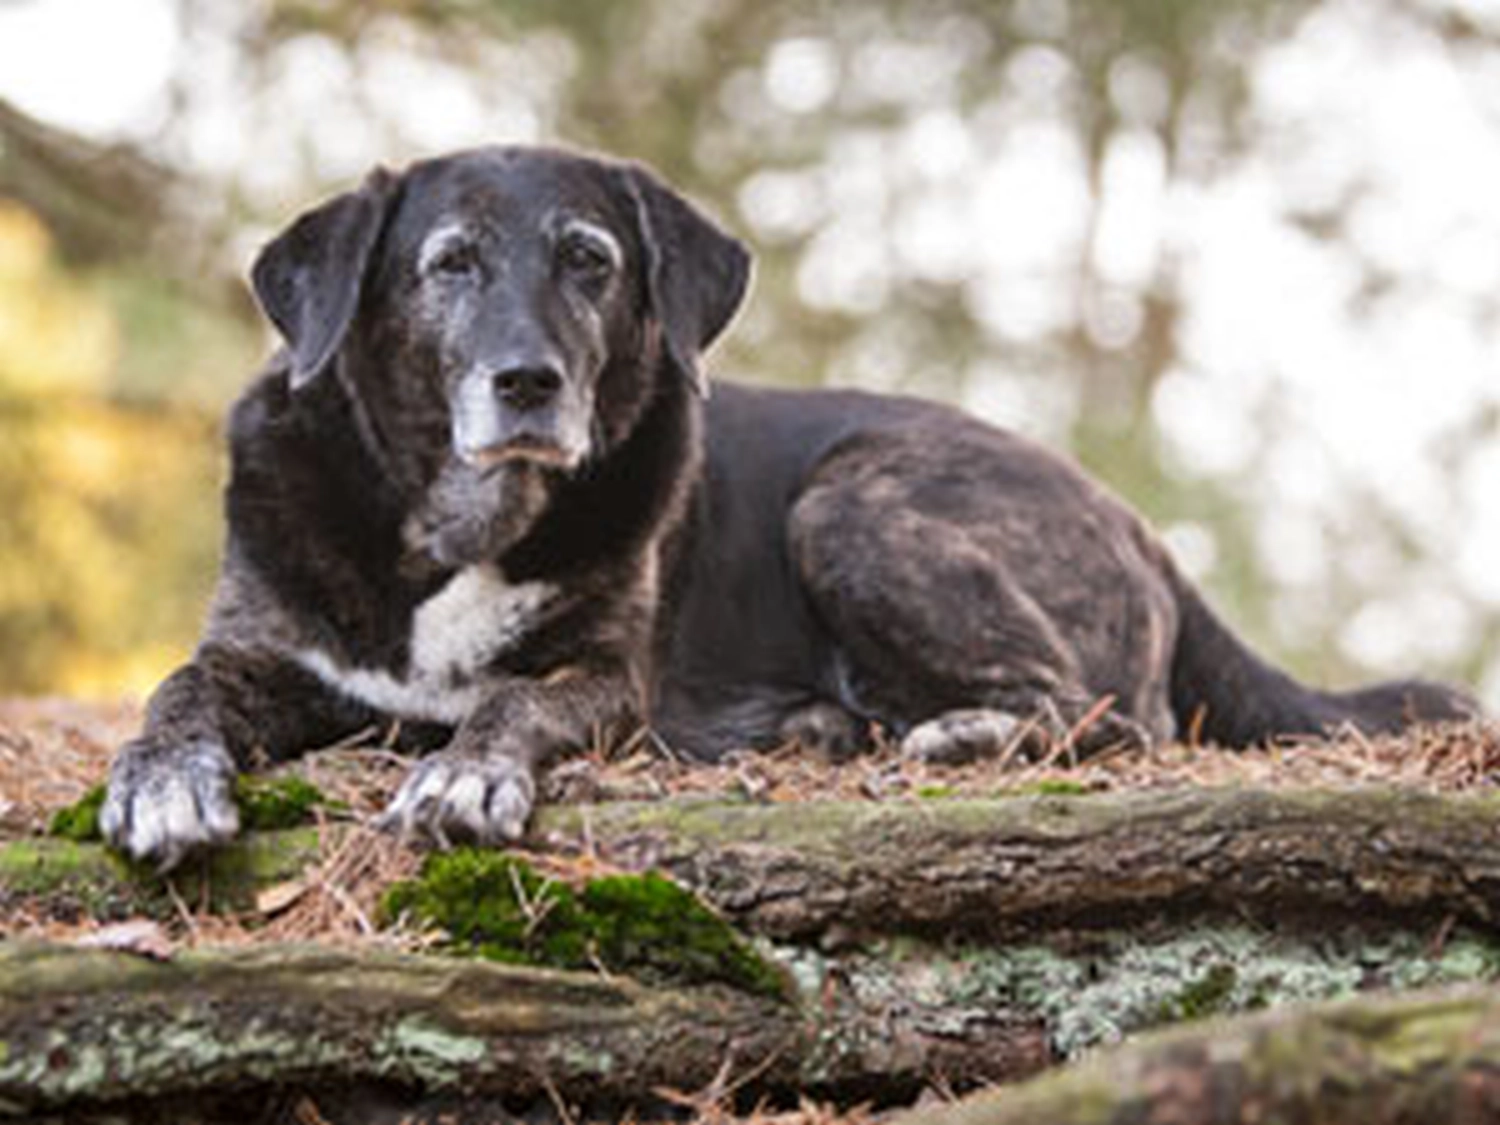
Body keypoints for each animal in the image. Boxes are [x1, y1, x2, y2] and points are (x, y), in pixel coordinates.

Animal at [102, 145, 1476, 870]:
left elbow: (505, 702)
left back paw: (957, 734)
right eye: (449, 265)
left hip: (853, 503)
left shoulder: (605, 682)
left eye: (590, 262)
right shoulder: (261, 653)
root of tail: (1141, 526)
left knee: (1111, 719)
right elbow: (174, 690)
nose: (529, 382)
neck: (458, 529)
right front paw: (161, 782)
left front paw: (462, 779)